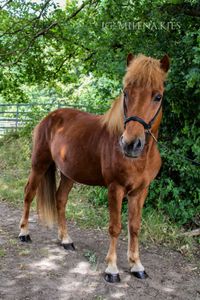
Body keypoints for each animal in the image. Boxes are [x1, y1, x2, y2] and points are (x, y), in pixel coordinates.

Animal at [18, 53, 170, 282]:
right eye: (126, 93)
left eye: (158, 97)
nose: (130, 144)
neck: (140, 158)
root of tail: (50, 117)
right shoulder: (115, 189)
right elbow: (115, 227)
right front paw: (112, 269)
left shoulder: (141, 191)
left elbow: (134, 227)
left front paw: (136, 265)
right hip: (39, 165)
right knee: (29, 194)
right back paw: (24, 233)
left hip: (68, 174)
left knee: (60, 199)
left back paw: (65, 240)